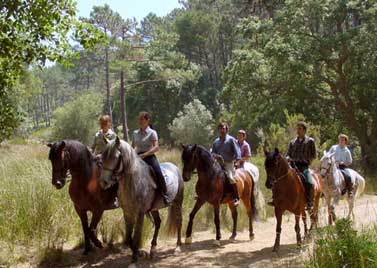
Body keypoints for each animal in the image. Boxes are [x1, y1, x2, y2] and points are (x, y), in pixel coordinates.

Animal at [98, 136, 184, 268]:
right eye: (103, 156)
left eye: (115, 157)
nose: (104, 182)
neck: (132, 183)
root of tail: (174, 166)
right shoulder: (127, 212)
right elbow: (128, 237)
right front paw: (139, 253)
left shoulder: (140, 213)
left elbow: (136, 236)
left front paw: (134, 260)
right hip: (154, 208)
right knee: (158, 223)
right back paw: (153, 249)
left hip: (178, 202)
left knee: (179, 222)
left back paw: (178, 247)